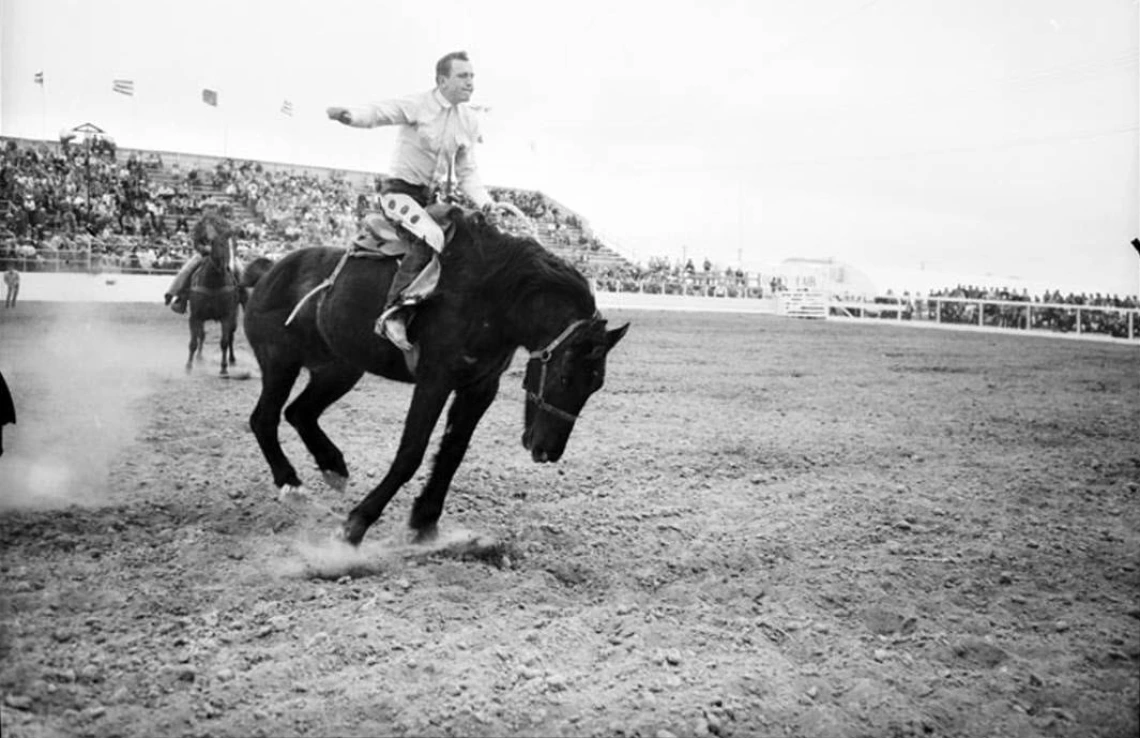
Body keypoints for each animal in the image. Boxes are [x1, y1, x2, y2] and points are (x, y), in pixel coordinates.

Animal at [243, 205, 629, 545]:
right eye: (564, 376)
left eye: (595, 385)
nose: (547, 451)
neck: (493, 297)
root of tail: (268, 271)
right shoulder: (434, 381)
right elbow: (411, 453)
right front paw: (356, 524)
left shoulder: (479, 388)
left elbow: (452, 453)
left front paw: (425, 521)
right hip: (280, 363)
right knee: (264, 418)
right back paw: (291, 483)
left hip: (339, 370)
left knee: (299, 412)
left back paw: (332, 466)